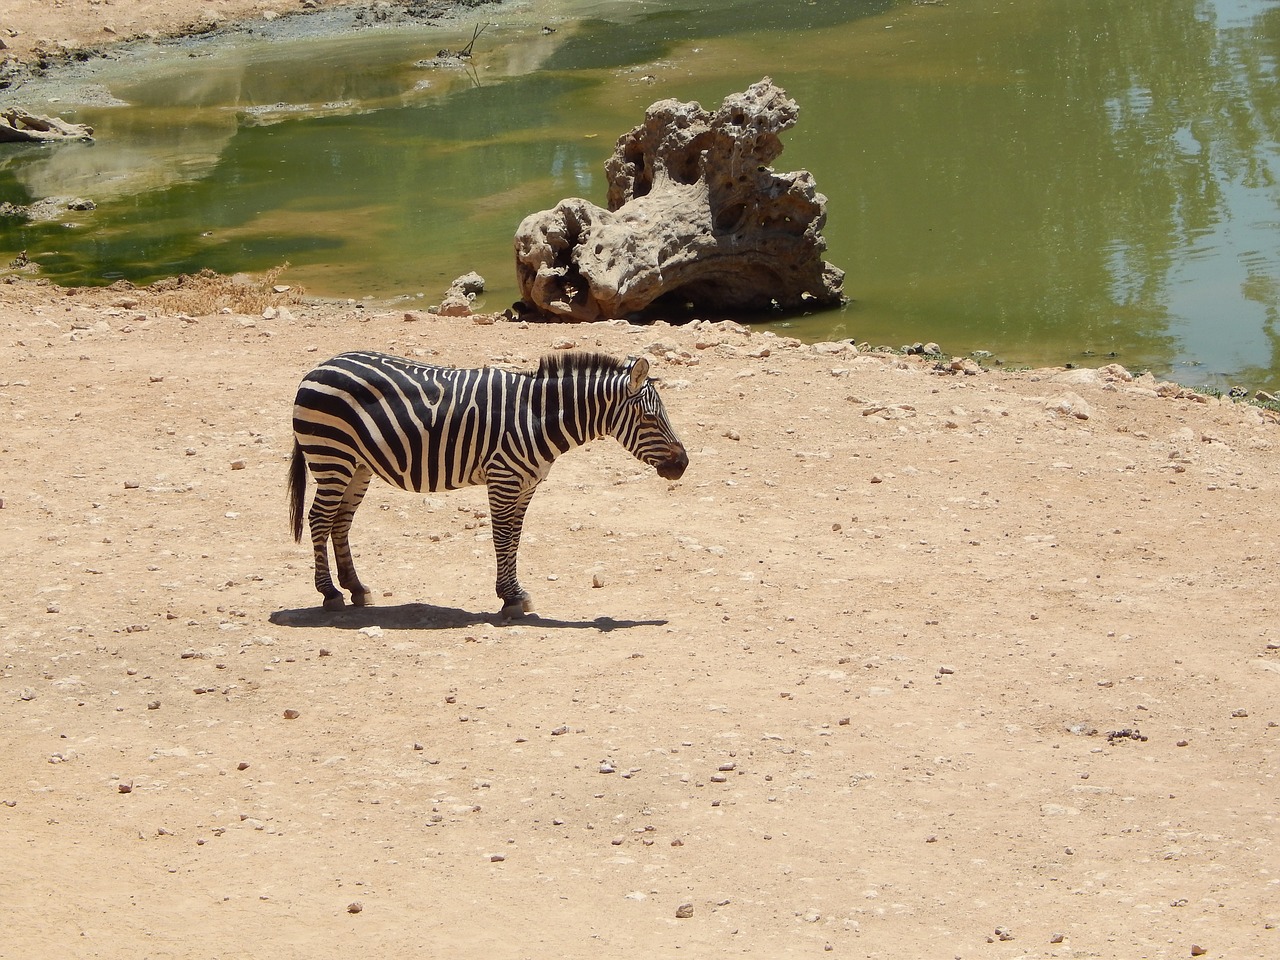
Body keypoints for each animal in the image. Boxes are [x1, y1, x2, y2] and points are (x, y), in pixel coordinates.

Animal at [288, 350, 691, 616]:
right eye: (651, 418)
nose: (683, 465)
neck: (536, 416)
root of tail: (318, 367)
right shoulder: (503, 478)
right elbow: (501, 537)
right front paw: (510, 597)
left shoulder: (527, 483)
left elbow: (515, 537)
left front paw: (514, 593)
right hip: (332, 457)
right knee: (319, 520)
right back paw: (330, 594)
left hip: (358, 466)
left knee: (340, 523)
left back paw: (355, 588)